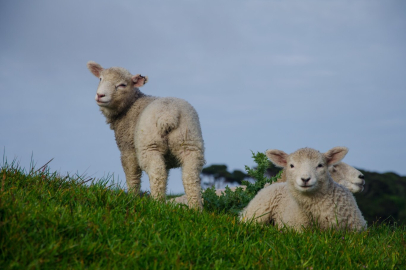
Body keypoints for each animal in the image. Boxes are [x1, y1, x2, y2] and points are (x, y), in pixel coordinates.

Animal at [87, 61, 205, 209]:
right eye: (100, 79)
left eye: (122, 85)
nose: (100, 95)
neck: (130, 106)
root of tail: (169, 113)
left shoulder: (128, 149)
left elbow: (132, 175)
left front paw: (132, 197)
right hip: (189, 142)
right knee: (190, 176)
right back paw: (195, 208)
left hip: (150, 145)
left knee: (157, 173)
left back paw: (157, 205)